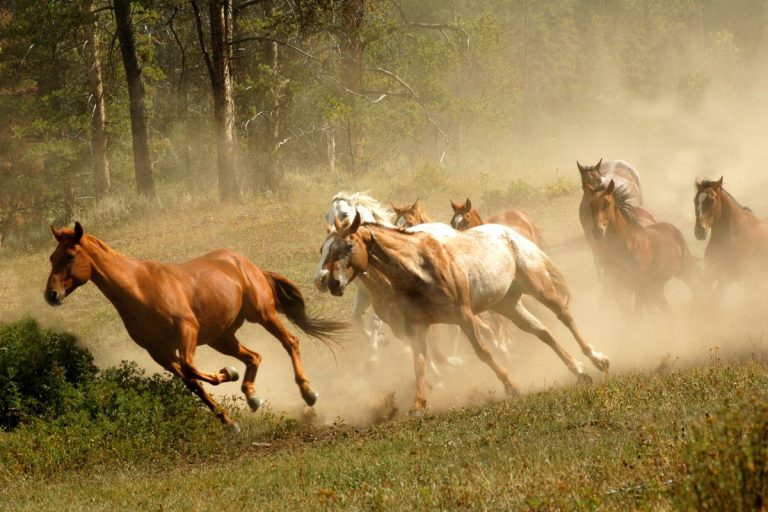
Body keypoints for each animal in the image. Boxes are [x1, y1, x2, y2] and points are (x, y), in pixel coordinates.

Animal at [45, 222, 346, 427]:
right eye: (51, 258)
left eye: (70, 256)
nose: (51, 295)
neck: (140, 289)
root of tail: (247, 264)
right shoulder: (158, 352)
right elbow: (192, 383)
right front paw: (229, 422)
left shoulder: (185, 332)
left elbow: (191, 369)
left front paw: (228, 374)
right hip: (222, 338)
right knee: (255, 356)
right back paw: (252, 398)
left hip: (263, 314)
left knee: (290, 342)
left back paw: (308, 393)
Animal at [319, 213, 609, 413]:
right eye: (326, 249)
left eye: (348, 247)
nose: (331, 283)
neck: (418, 267)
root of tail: (509, 233)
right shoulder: (416, 327)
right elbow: (420, 362)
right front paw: (418, 404)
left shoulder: (464, 317)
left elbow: (483, 352)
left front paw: (511, 386)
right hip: (507, 304)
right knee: (543, 332)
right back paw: (579, 371)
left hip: (538, 287)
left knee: (564, 315)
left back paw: (598, 358)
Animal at [588, 180, 701, 313]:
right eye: (591, 205)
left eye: (607, 203)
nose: (597, 231)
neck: (628, 245)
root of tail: (671, 228)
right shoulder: (615, 286)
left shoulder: (639, 287)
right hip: (658, 286)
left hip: (685, 270)